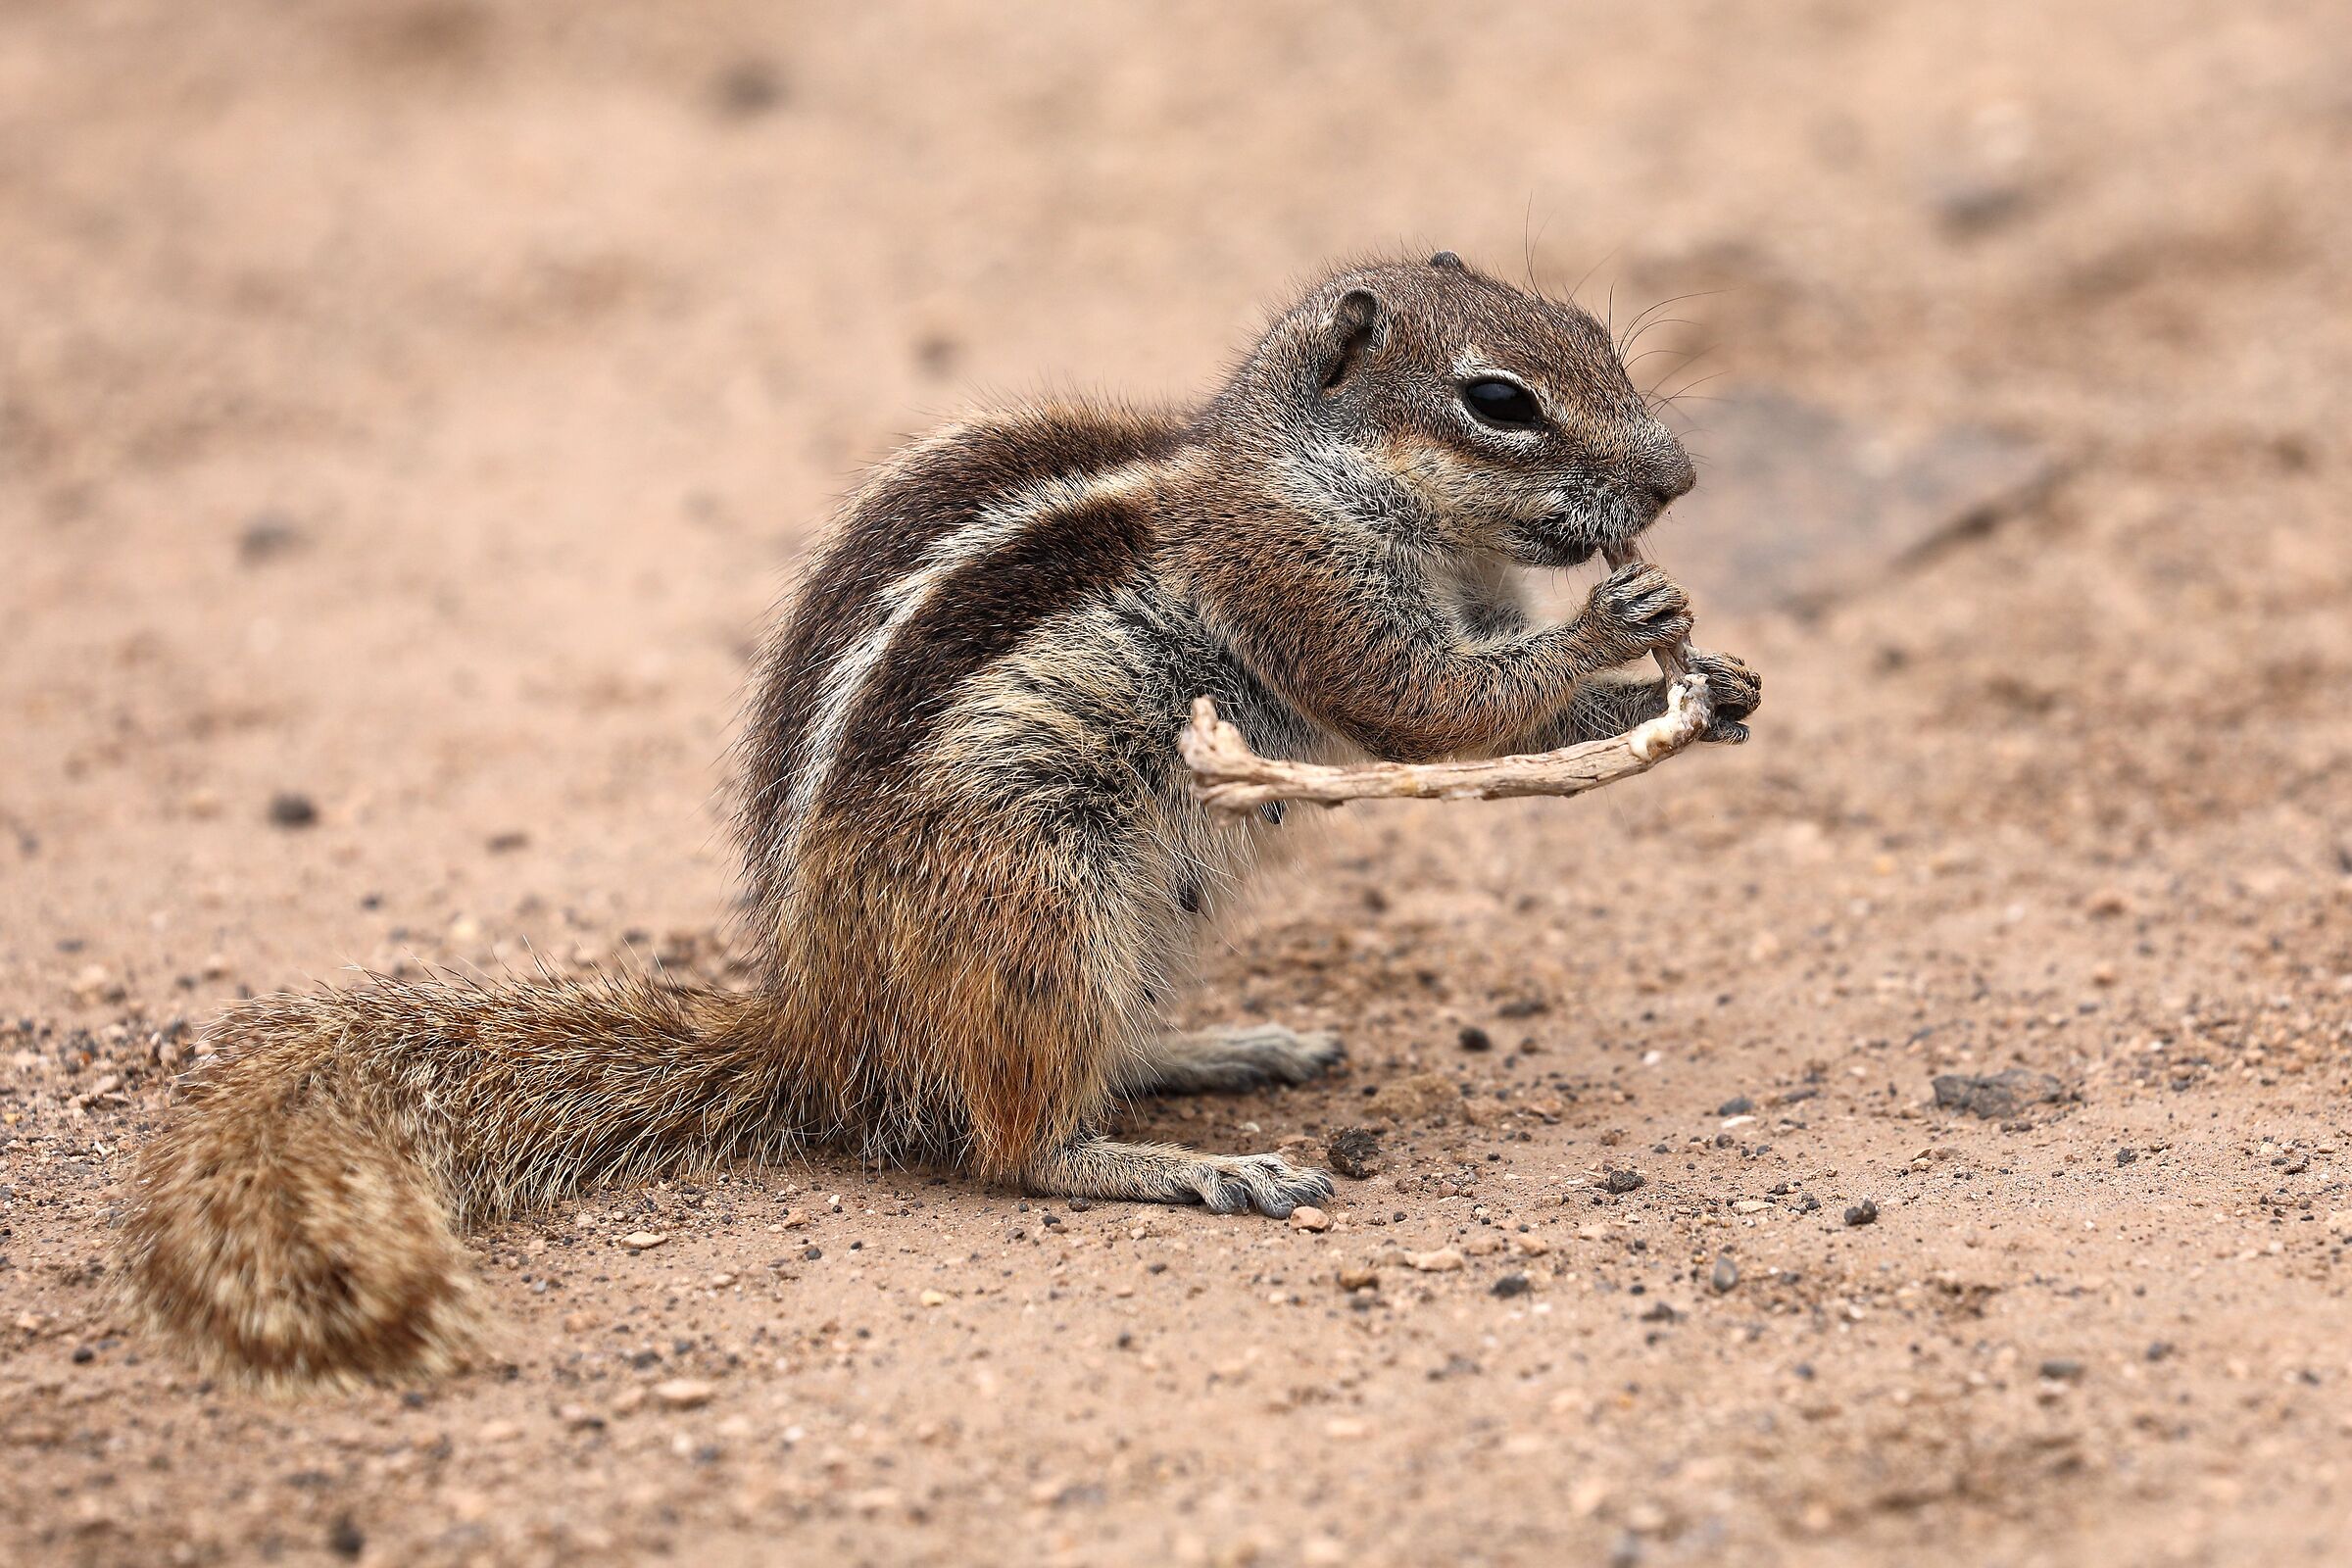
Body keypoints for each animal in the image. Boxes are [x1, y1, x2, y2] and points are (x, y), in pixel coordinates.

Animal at [118, 252, 1761, 1384]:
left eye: (1598, 334)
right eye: (1500, 402)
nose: (1679, 479)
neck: (1315, 473)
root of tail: (823, 1031)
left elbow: (1498, 721)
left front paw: (1714, 687)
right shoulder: (1310, 591)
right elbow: (1430, 711)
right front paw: (1621, 631)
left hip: (1148, 913)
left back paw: (1213, 1053)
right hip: (1042, 890)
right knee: (1011, 1143)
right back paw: (1185, 1164)